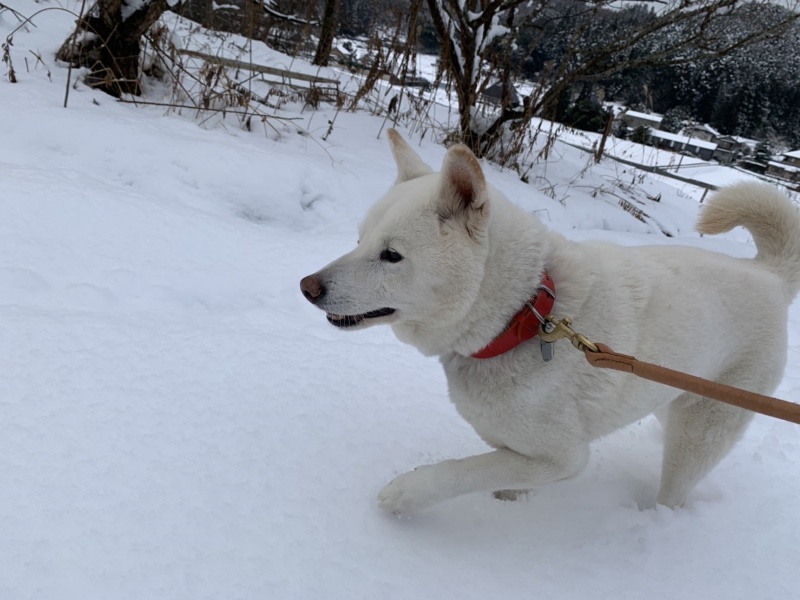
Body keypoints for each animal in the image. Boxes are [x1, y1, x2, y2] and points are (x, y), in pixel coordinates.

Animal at [300, 129, 800, 514]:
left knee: (675, 489)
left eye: (391, 255)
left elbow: (465, 470)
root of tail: (770, 274)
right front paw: (511, 497)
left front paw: (406, 493)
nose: (308, 287)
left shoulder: (564, 457)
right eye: (359, 240)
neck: (522, 319)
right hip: (671, 389)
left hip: (702, 430)